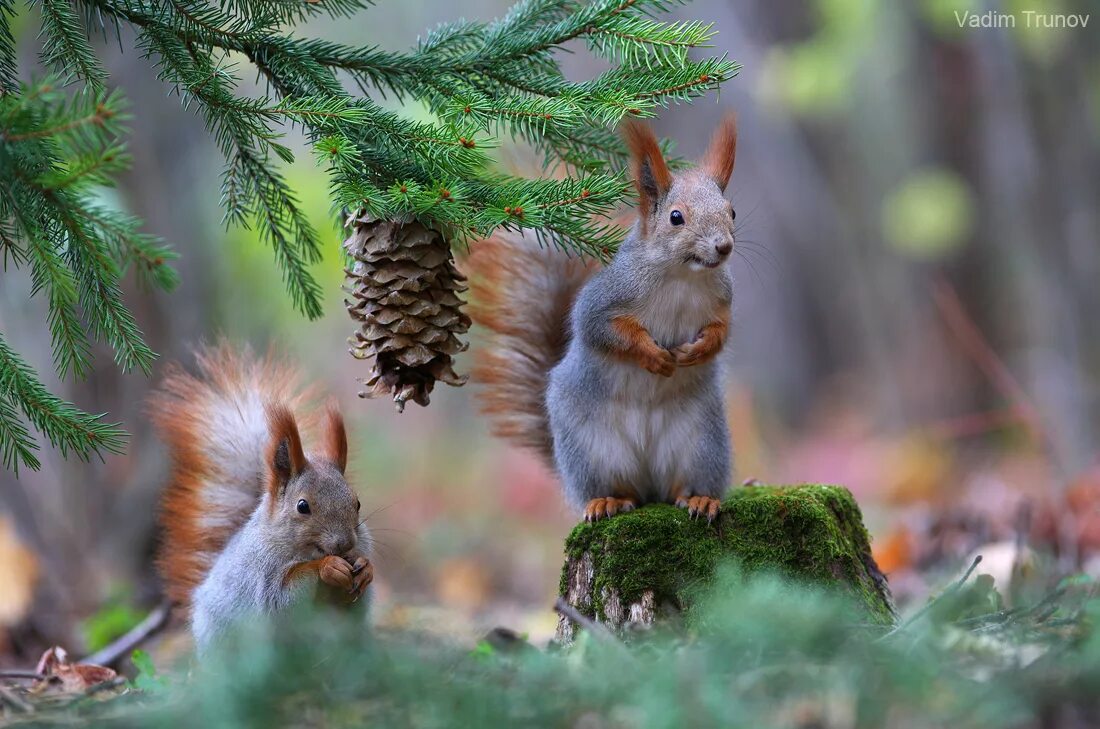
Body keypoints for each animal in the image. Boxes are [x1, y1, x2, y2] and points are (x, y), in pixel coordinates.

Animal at [150, 345, 374, 650]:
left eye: (358, 503)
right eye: (302, 506)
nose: (345, 545)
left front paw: (365, 568)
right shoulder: (262, 576)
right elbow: (284, 595)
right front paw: (327, 567)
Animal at [466, 115, 739, 525]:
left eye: (731, 211)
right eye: (676, 217)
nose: (724, 247)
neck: (683, 276)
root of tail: (649, 480)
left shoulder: (722, 301)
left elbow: (722, 331)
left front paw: (699, 350)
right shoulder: (602, 301)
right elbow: (602, 331)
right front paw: (653, 356)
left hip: (702, 444)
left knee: (681, 485)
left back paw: (698, 499)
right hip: (593, 451)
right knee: (617, 489)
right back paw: (607, 501)